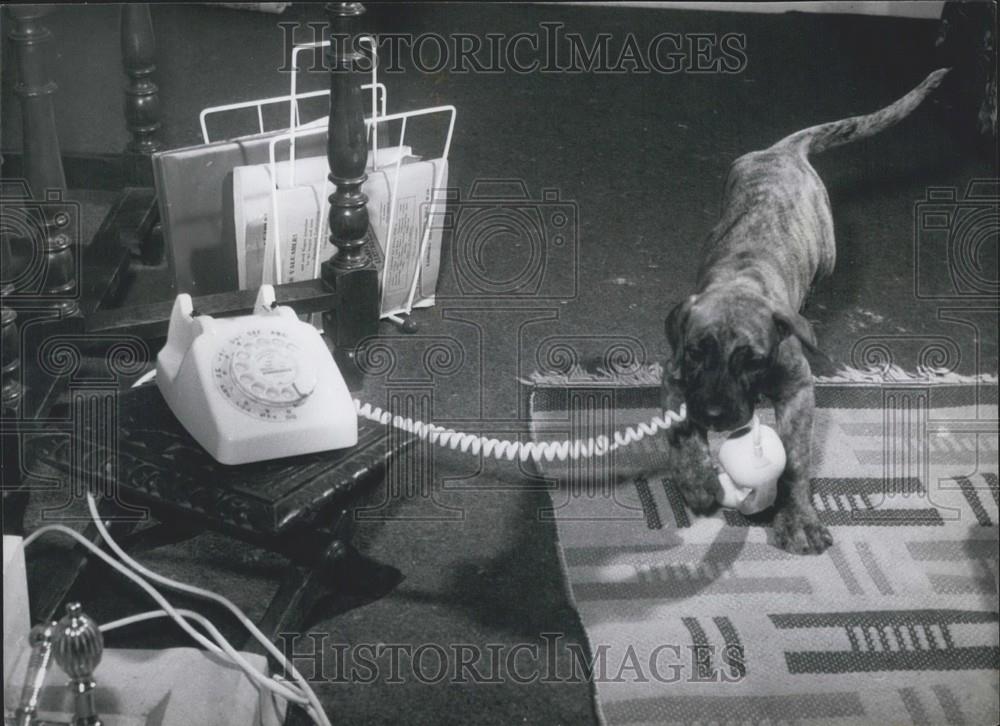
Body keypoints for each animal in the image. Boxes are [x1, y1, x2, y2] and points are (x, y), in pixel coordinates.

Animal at [660, 69, 948, 556]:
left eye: (754, 359)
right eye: (698, 352)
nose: (715, 416)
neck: (741, 279)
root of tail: (784, 150)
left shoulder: (798, 389)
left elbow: (795, 459)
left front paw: (798, 519)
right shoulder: (676, 375)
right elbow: (681, 431)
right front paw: (696, 478)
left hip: (828, 250)